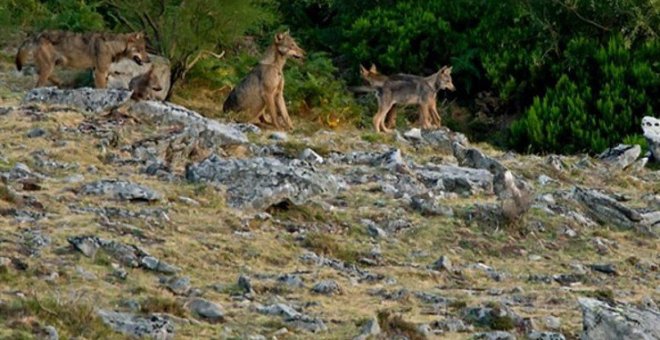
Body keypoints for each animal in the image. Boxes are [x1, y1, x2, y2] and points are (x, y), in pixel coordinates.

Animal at [15, 30, 151, 88]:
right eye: (141, 49)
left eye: (145, 49)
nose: (149, 60)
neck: (112, 46)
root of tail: (36, 35)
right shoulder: (100, 72)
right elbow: (102, 89)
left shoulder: (99, 72)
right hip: (49, 66)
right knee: (38, 83)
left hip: (52, 64)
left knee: (41, 74)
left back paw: (61, 83)